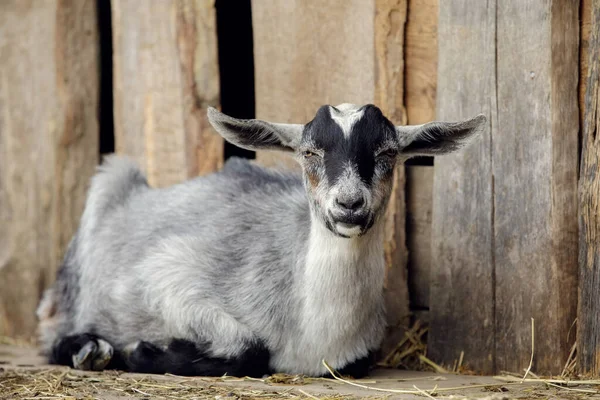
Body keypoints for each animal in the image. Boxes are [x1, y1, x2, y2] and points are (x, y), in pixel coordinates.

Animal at [36, 103, 488, 378]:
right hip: (105, 191)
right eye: (309, 153)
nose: (349, 204)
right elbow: (250, 350)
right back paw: (89, 349)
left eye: (387, 154)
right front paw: (141, 352)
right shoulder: (165, 274)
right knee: (51, 326)